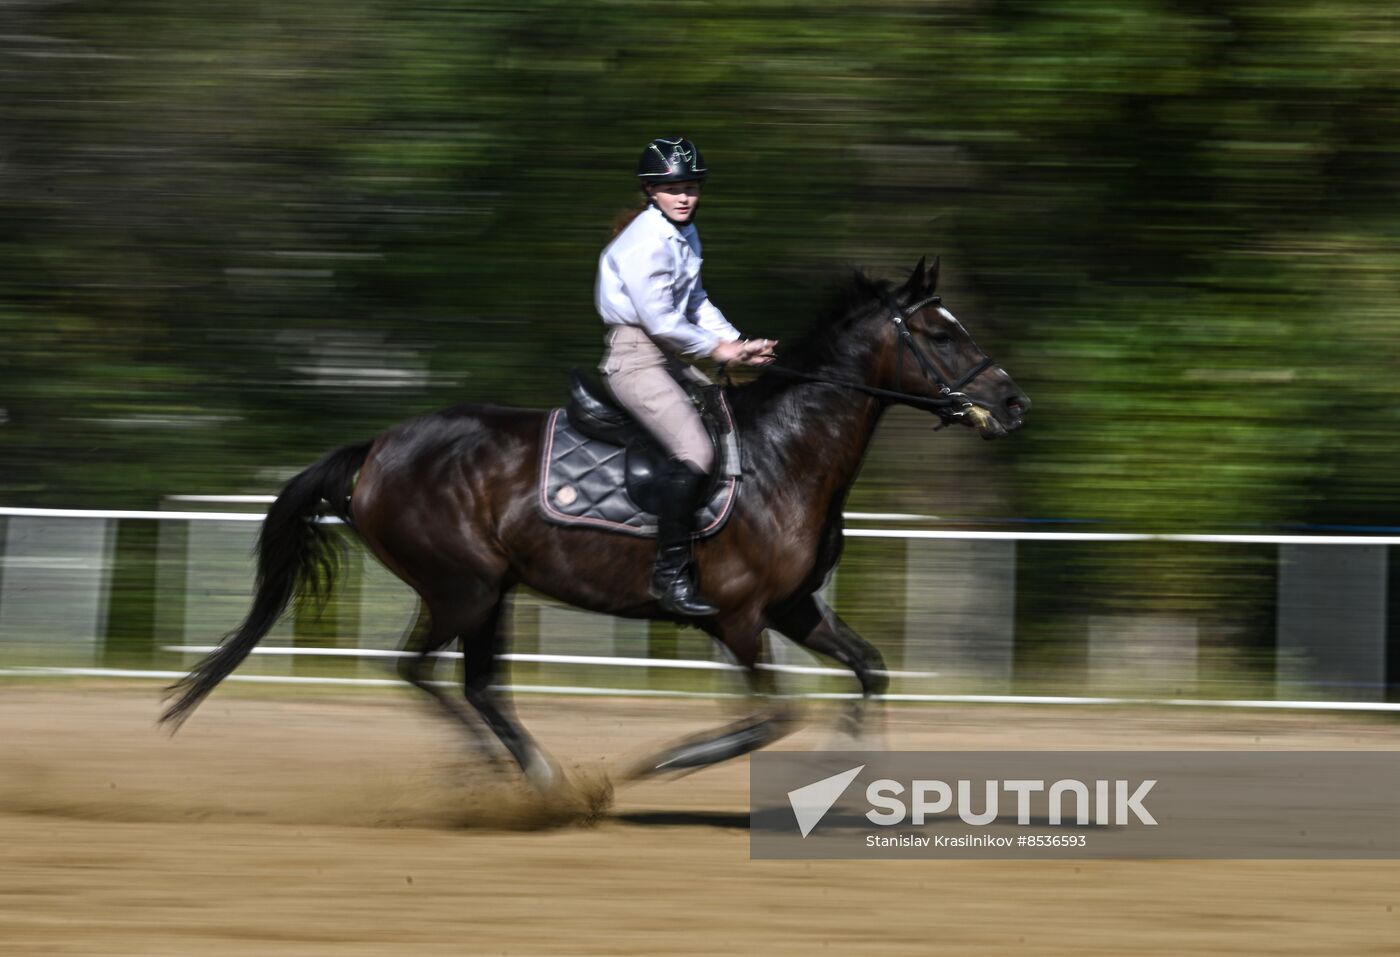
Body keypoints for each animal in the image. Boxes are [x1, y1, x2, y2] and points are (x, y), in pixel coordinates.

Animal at [161, 257, 1030, 789]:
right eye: (942, 331)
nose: (1016, 403)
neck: (785, 455)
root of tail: (377, 448)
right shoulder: (739, 617)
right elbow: (771, 716)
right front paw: (672, 761)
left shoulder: (791, 606)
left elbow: (869, 669)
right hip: (462, 588)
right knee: (421, 672)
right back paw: (532, 783)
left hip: (491, 592)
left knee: (474, 683)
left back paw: (528, 777)